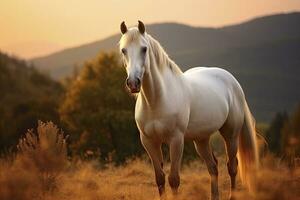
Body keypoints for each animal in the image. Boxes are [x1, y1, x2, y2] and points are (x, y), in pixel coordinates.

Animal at [118, 21, 258, 199]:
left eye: (144, 49)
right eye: (124, 50)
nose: (133, 83)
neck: (156, 101)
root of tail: (232, 81)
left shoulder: (176, 140)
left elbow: (174, 180)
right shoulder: (149, 142)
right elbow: (160, 179)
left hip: (231, 134)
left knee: (232, 166)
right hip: (201, 139)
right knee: (213, 167)